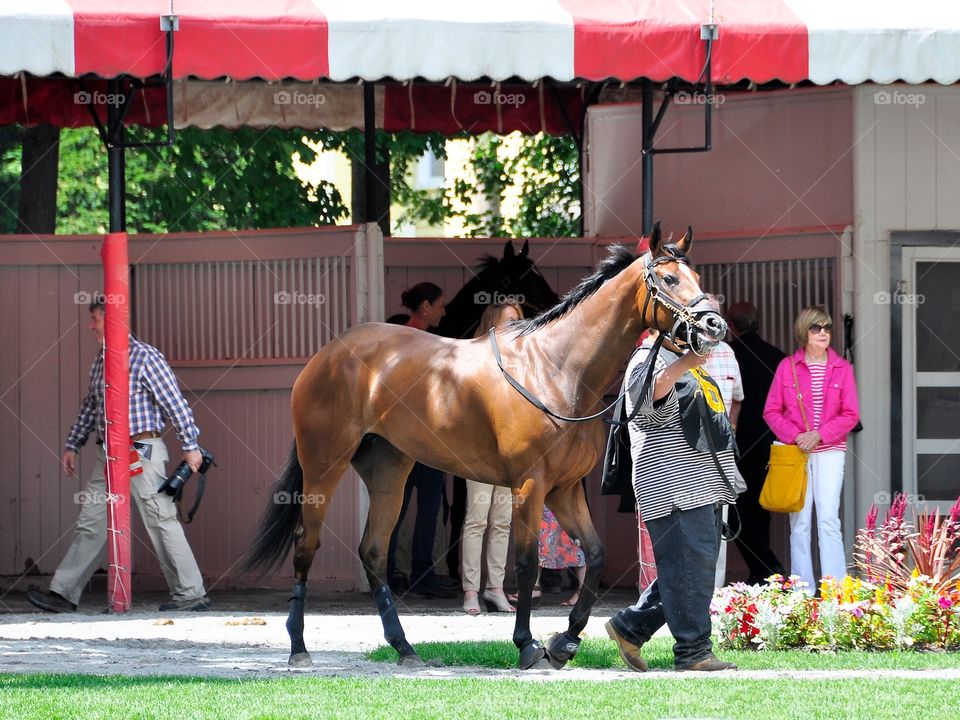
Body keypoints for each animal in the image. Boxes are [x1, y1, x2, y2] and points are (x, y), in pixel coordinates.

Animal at [248, 225, 728, 668]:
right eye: (669, 279)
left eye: (696, 275)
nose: (714, 325)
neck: (556, 368)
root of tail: (327, 355)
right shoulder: (530, 485)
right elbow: (527, 562)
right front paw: (528, 644)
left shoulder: (564, 488)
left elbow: (594, 555)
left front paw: (565, 640)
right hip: (323, 465)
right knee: (306, 546)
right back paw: (298, 649)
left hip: (389, 469)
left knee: (373, 551)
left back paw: (404, 648)